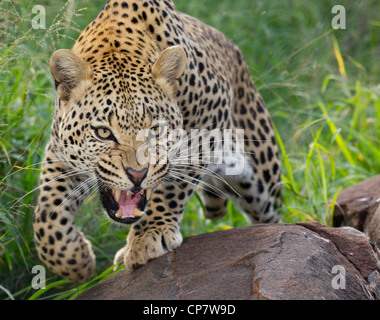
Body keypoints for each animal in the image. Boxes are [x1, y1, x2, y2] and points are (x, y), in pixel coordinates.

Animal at [33, 0, 282, 282]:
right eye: (104, 133)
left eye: (156, 130)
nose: (137, 175)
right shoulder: (59, 150)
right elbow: (48, 210)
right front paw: (75, 261)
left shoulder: (209, 118)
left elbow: (174, 185)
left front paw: (149, 236)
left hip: (261, 178)